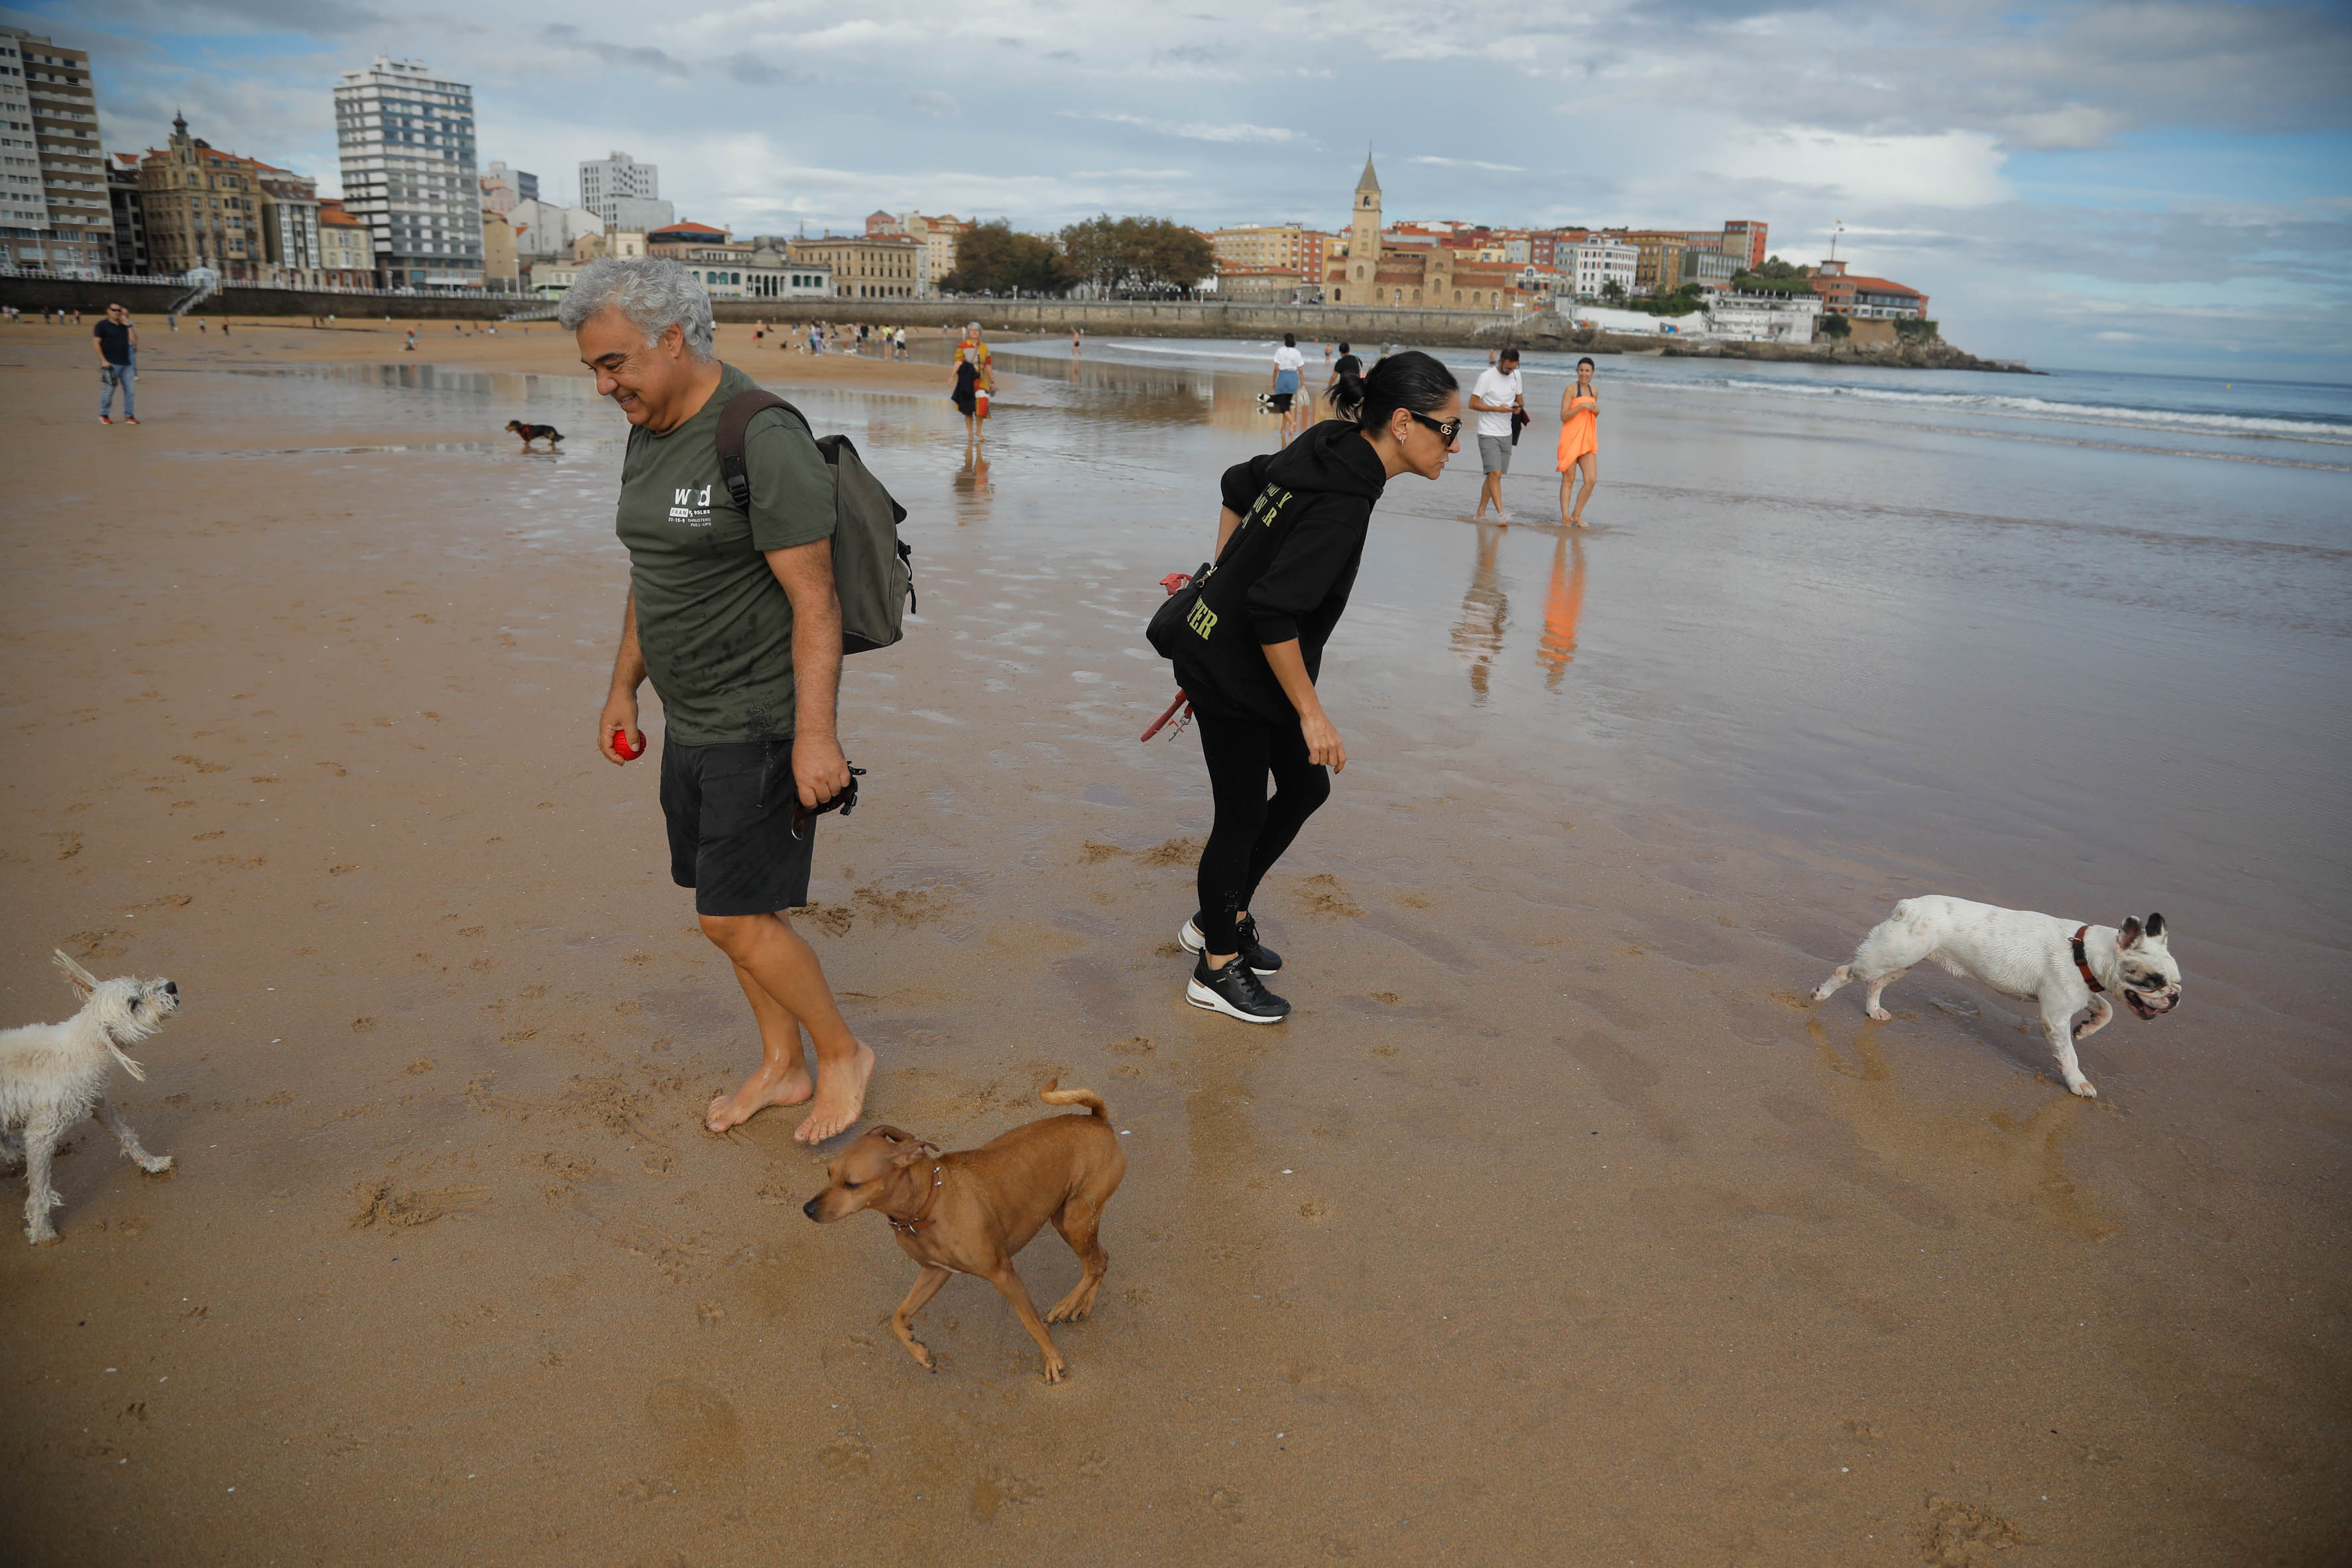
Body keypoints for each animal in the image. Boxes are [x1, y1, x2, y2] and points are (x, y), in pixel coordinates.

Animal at [3, 950, 181, 1241]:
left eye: (138, 983)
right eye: (133, 1004)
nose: (172, 986)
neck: (81, 1049)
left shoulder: (98, 1102)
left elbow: (126, 1135)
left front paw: (152, 1163)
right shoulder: (41, 1135)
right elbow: (39, 1192)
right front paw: (42, 1233)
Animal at [809, 1086, 1129, 1382]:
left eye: (852, 1184)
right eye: (828, 1173)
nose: (807, 1209)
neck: (927, 1205)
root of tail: (1097, 1120)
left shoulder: (1002, 1273)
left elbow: (1033, 1325)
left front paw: (1053, 1361)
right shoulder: (934, 1272)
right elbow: (899, 1318)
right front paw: (919, 1352)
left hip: (1075, 1220)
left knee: (1094, 1265)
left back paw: (1066, 1306)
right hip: (1068, 1220)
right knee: (1101, 1260)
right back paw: (1081, 1306)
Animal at [1816, 893, 2182, 1105]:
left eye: (2177, 982)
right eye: (2154, 981)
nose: (2175, 997)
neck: (2083, 952)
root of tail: (1910, 906)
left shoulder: (2078, 995)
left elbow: (2106, 1010)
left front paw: (2086, 1029)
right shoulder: (2055, 1016)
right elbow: (2070, 1055)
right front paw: (2077, 1082)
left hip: (1902, 961)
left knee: (1876, 983)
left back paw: (1874, 1010)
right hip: (1890, 956)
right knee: (1846, 972)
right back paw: (1820, 994)